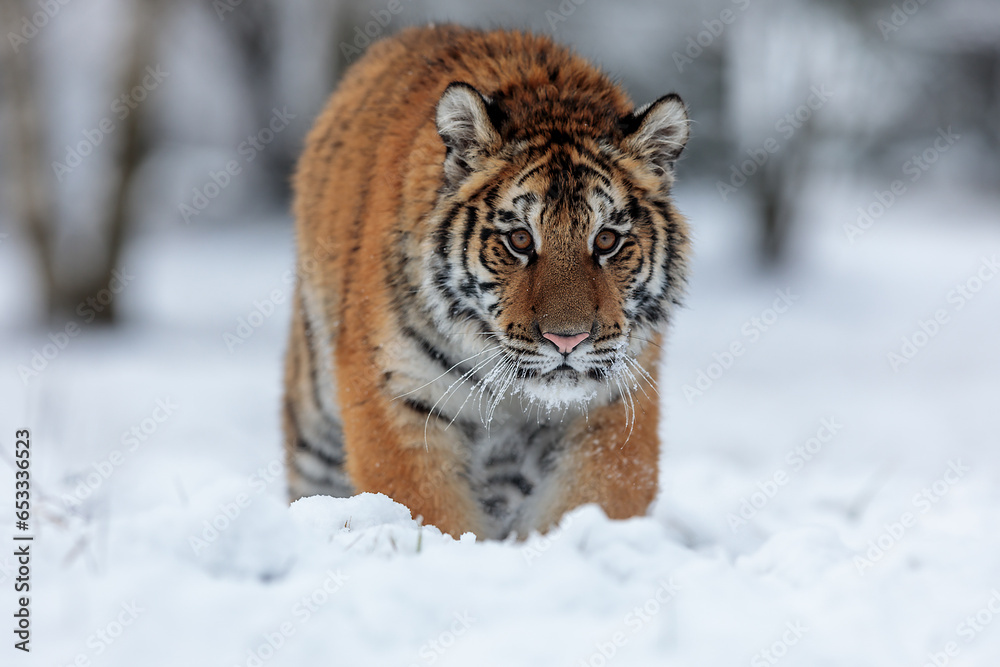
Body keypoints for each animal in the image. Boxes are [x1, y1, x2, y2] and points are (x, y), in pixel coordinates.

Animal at [283, 24, 691, 540]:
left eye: (606, 240)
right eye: (519, 239)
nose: (568, 340)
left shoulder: (615, 402)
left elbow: (595, 501)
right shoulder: (397, 395)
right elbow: (427, 511)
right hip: (315, 424)